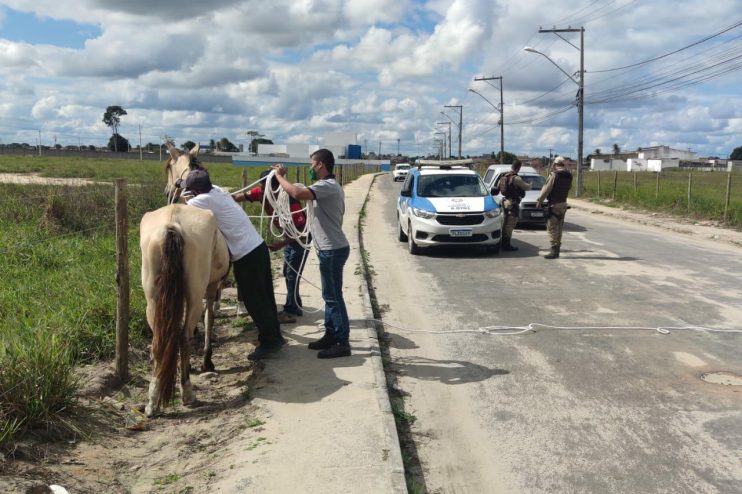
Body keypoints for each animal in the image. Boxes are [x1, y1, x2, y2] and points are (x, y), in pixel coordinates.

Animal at [140, 143, 230, 416]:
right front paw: (208, 360)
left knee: (161, 338)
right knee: (183, 335)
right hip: (192, 294)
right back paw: (186, 391)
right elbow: (210, 318)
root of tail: (171, 226)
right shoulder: (210, 288)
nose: (167, 190)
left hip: (153, 298)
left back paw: (154, 400)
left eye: (168, 167)